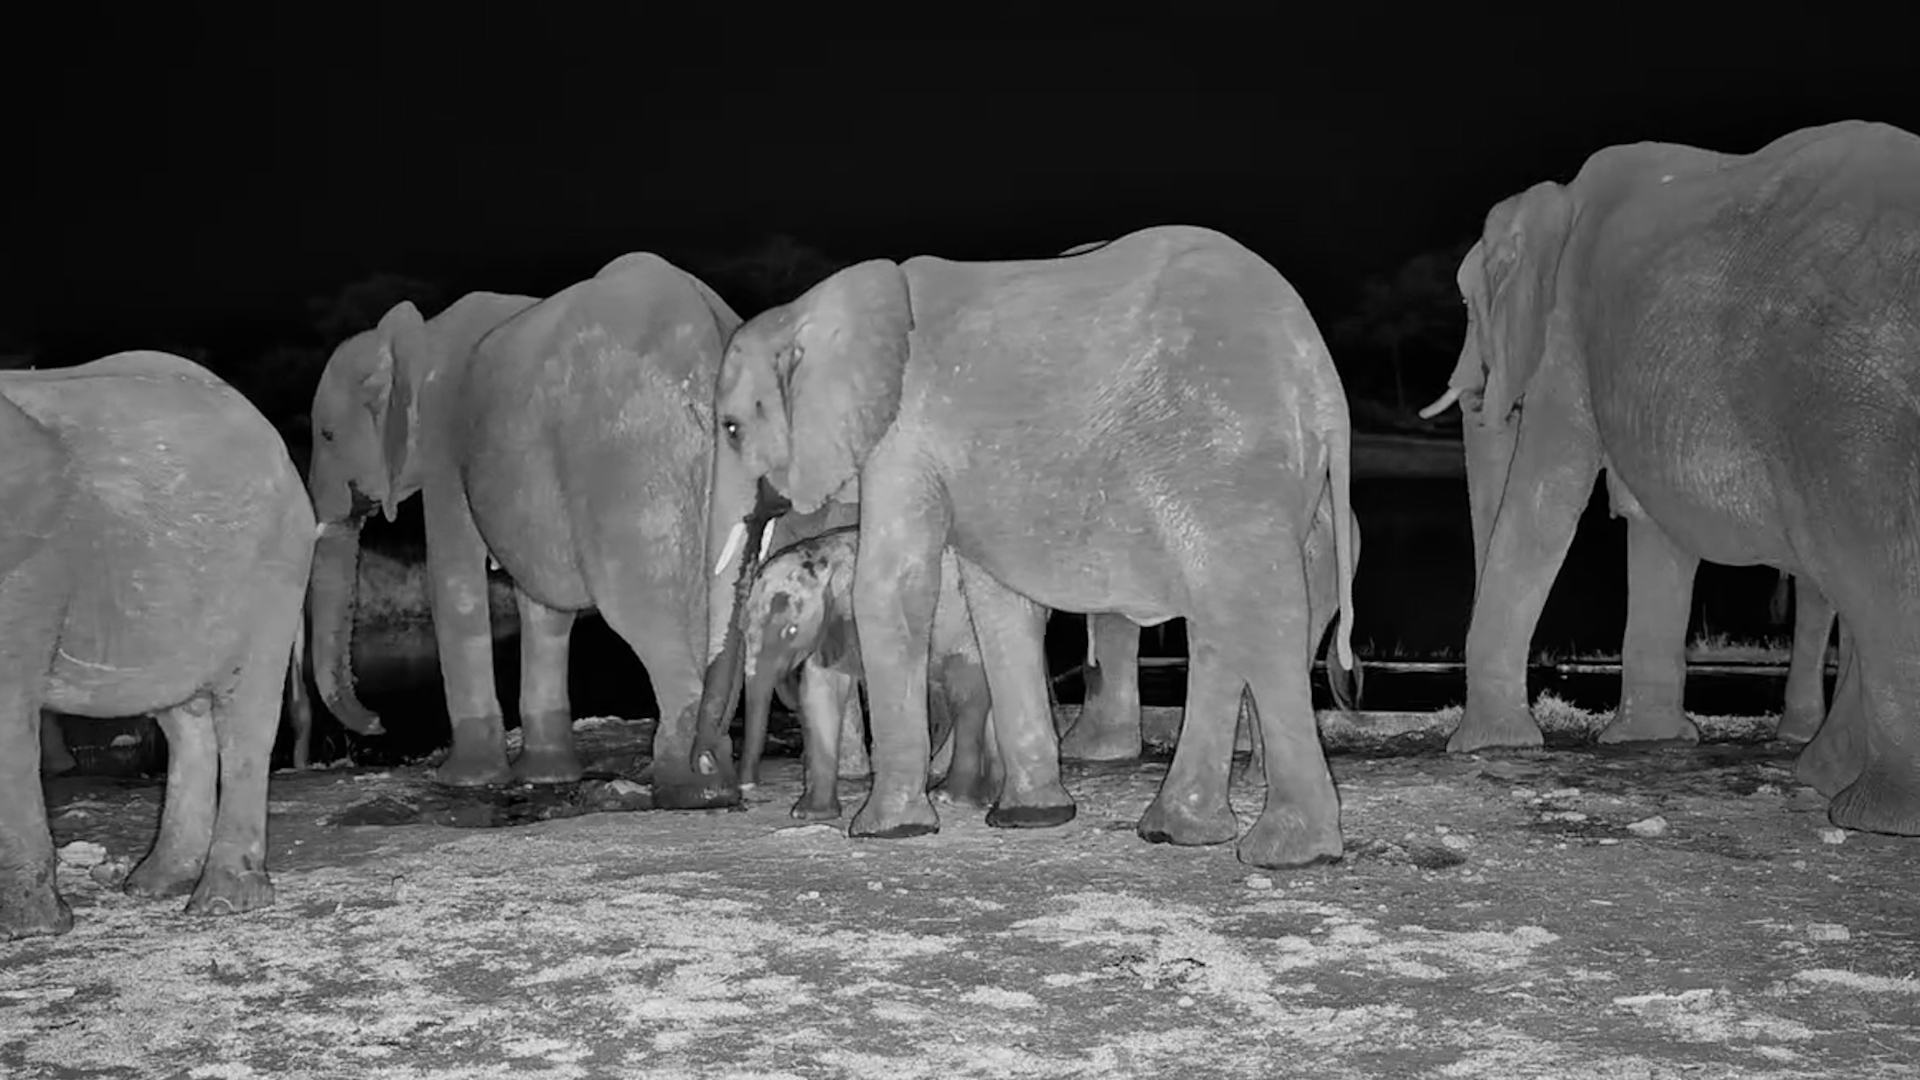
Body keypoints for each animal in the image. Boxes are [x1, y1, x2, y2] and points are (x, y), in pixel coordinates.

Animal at [1, 351, 313, 939]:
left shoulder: (24, 573)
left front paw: (30, 931)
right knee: (185, 721)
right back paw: (156, 884)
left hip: (272, 570)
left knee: (245, 716)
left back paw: (221, 901)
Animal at [306, 252, 751, 804]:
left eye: (327, 434)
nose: (378, 725)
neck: (416, 334)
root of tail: (707, 336)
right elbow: (542, 604)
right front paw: (546, 776)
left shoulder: (444, 443)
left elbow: (455, 584)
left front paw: (464, 781)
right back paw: (710, 778)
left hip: (627, 452)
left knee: (643, 600)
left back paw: (690, 788)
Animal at [695, 224, 1360, 869]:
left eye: (731, 428)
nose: (730, 790)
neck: (815, 308)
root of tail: (1324, 379)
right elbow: (997, 600)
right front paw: (1030, 817)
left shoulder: (904, 437)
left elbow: (891, 588)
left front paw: (886, 830)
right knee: (1220, 622)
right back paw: (1179, 833)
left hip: (1227, 457)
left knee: (1256, 610)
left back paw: (1286, 855)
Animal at [1421, 119, 1920, 835]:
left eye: (1467, 300)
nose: (1482, 393)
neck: (1558, 200)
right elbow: (1653, 522)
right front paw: (1648, 741)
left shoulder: (1569, 332)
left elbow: (1546, 496)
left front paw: (1487, 748)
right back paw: (1826, 779)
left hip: (1839, 394)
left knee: (1862, 551)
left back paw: (1863, 809)